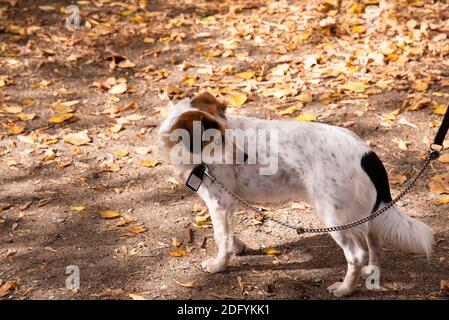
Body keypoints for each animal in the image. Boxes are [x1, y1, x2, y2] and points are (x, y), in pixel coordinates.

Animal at [158, 92, 434, 298]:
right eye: (216, 139)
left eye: (224, 136)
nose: (245, 157)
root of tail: (367, 153)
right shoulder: (229, 203)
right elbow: (229, 233)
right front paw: (237, 248)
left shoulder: (219, 203)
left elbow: (220, 237)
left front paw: (219, 264)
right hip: (362, 215)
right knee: (375, 243)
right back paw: (370, 273)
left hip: (334, 217)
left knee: (357, 254)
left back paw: (345, 288)